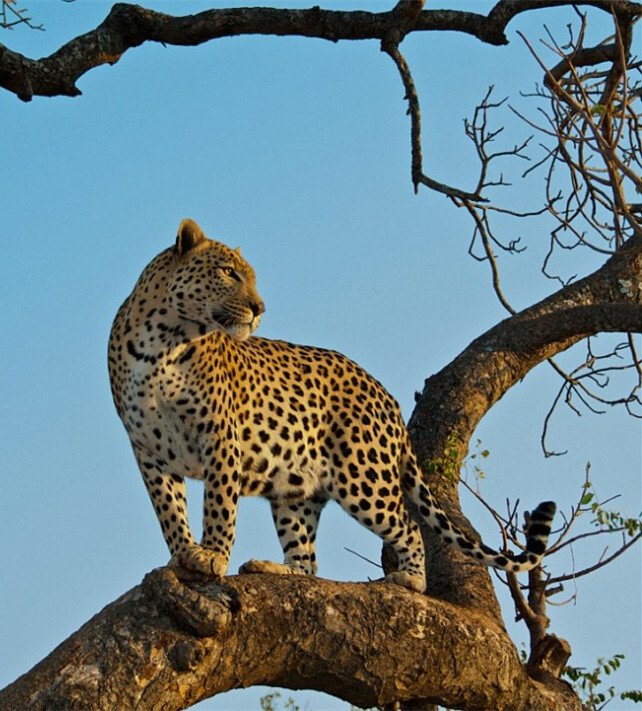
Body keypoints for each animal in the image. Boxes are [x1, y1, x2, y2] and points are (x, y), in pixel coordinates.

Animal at [107, 218, 552, 596]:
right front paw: (183, 553)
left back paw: (411, 578)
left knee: (407, 523)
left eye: (250, 277)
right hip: (294, 490)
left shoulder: (219, 435)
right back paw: (276, 568)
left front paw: (213, 554)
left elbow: (219, 503)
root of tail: (384, 394)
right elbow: (169, 508)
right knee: (307, 559)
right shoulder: (147, 447)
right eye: (228, 272)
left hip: (364, 476)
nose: (259, 308)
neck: (165, 343)